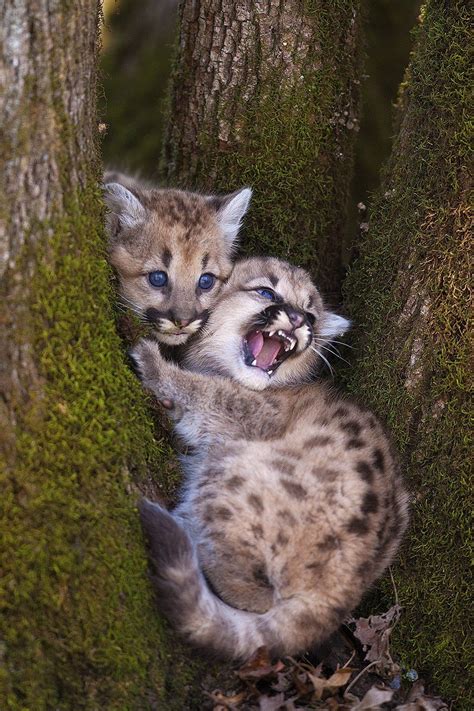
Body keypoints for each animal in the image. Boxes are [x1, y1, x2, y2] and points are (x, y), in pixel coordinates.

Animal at [131, 258, 410, 660]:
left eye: (311, 314)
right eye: (266, 292)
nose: (296, 318)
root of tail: (341, 593)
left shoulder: (254, 413)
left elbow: (208, 392)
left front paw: (155, 363)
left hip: (235, 471)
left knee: (256, 597)